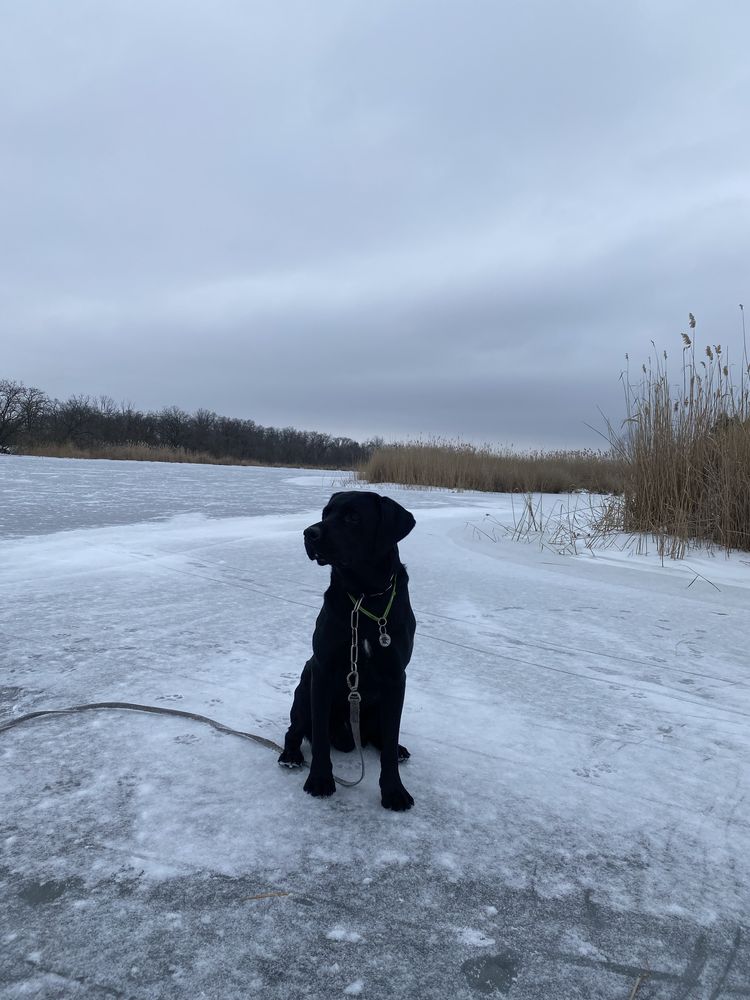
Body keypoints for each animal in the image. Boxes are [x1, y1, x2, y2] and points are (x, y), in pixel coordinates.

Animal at [280, 492, 418, 812]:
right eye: (326, 513)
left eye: (353, 517)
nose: (309, 533)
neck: (365, 597)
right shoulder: (322, 668)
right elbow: (318, 737)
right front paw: (319, 780)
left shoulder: (396, 678)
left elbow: (389, 743)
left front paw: (394, 791)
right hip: (304, 686)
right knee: (294, 730)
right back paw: (291, 755)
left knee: (382, 737)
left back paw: (399, 748)